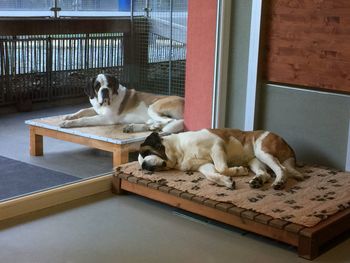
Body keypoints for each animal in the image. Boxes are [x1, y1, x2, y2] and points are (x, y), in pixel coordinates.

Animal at [138, 129, 302, 190]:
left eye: (146, 153)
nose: (144, 166)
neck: (179, 151)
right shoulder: (204, 165)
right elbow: (212, 174)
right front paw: (227, 181)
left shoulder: (217, 145)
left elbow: (221, 168)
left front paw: (238, 171)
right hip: (255, 160)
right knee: (266, 173)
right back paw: (258, 180)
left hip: (262, 150)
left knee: (281, 169)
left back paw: (279, 182)